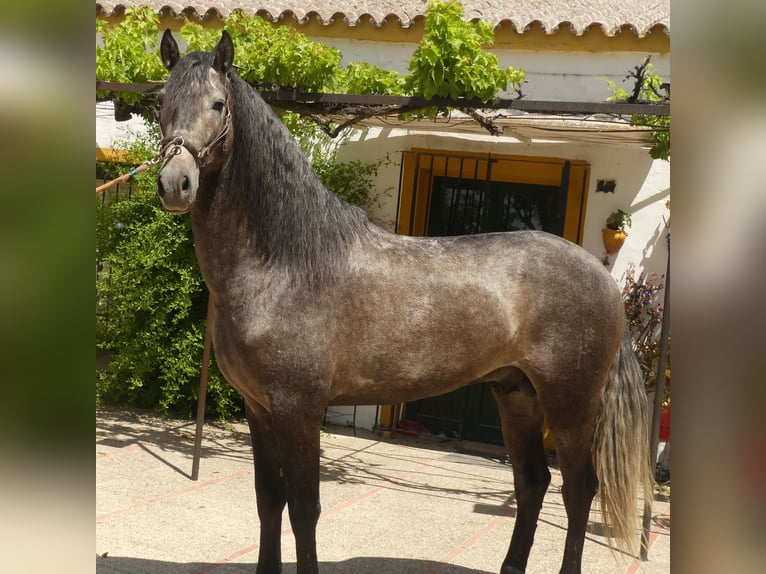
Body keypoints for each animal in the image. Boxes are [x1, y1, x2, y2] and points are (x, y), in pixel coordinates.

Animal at [156, 30, 651, 574]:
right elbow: (269, 501)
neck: (284, 265)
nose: (175, 183)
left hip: (571, 404)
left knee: (579, 489)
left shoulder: (298, 409)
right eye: (161, 101)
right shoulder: (259, 408)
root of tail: (602, 277)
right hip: (517, 395)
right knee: (532, 483)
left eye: (218, 105)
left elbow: (304, 509)